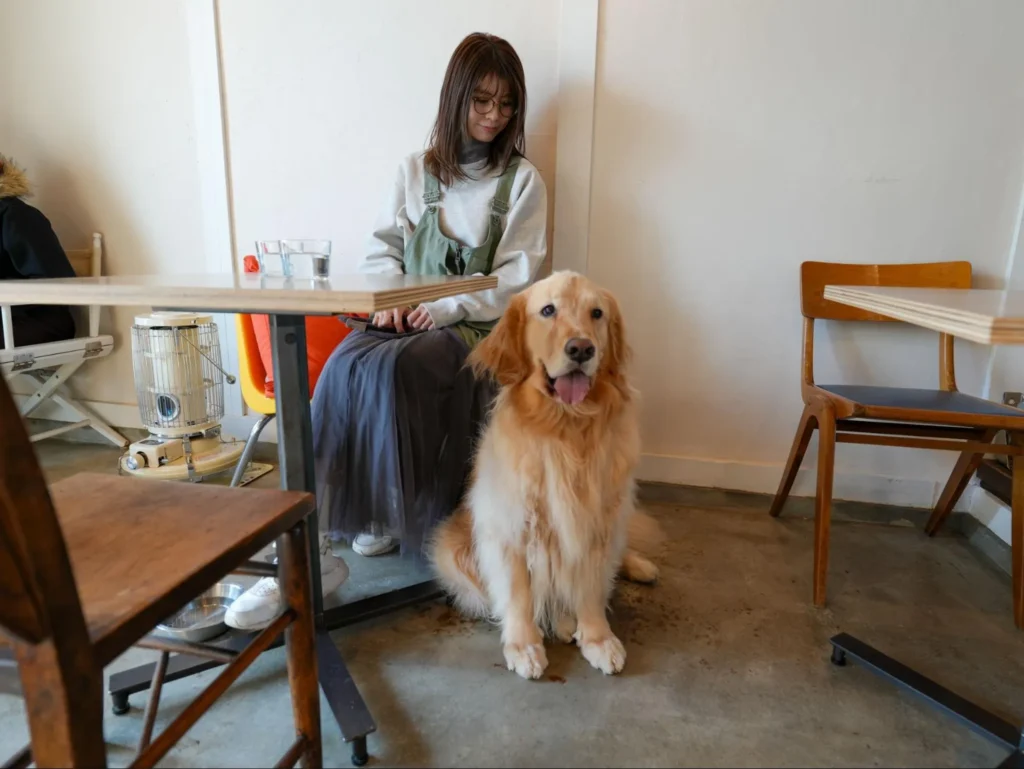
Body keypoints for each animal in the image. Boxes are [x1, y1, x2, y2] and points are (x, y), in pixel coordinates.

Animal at [428, 271, 660, 680]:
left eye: (597, 313)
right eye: (548, 311)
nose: (581, 349)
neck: (565, 428)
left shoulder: (598, 524)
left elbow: (591, 586)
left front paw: (598, 638)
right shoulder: (511, 529)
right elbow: (519, 592)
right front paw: (524, 645)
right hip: (450, 549)